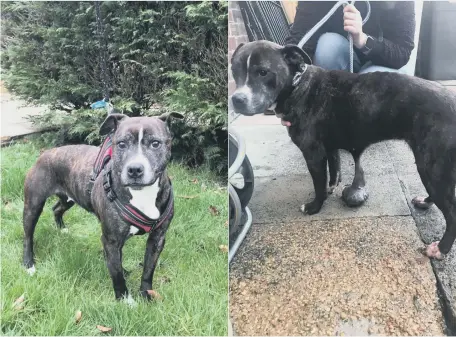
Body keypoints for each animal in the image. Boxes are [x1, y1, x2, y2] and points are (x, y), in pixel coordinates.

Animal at [21, 113, 182, 302]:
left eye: (155, 143)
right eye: (121, 144)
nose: (135, 169)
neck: (142, 194)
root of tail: (46, 152)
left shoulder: (157, 238)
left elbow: (148, 269)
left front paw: (146, 294)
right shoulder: (111, 241)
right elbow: (117, 275)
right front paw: (125, 301)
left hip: (69, 198)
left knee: (57, 208)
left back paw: (62, 228)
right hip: (33, 205)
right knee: (28, 236)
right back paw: (28, 263)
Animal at [232, 40, 456, 258]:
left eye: (263, 72)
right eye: (234, 70)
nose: (236, 99)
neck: (297, 86)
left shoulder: (313, 154)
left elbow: (318, 184)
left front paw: (315, 206)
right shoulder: (330, 148)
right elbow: (334, 169)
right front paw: (332, 187)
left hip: (431, 167)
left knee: (451, 213)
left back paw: (440, 249)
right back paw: (425, 202)